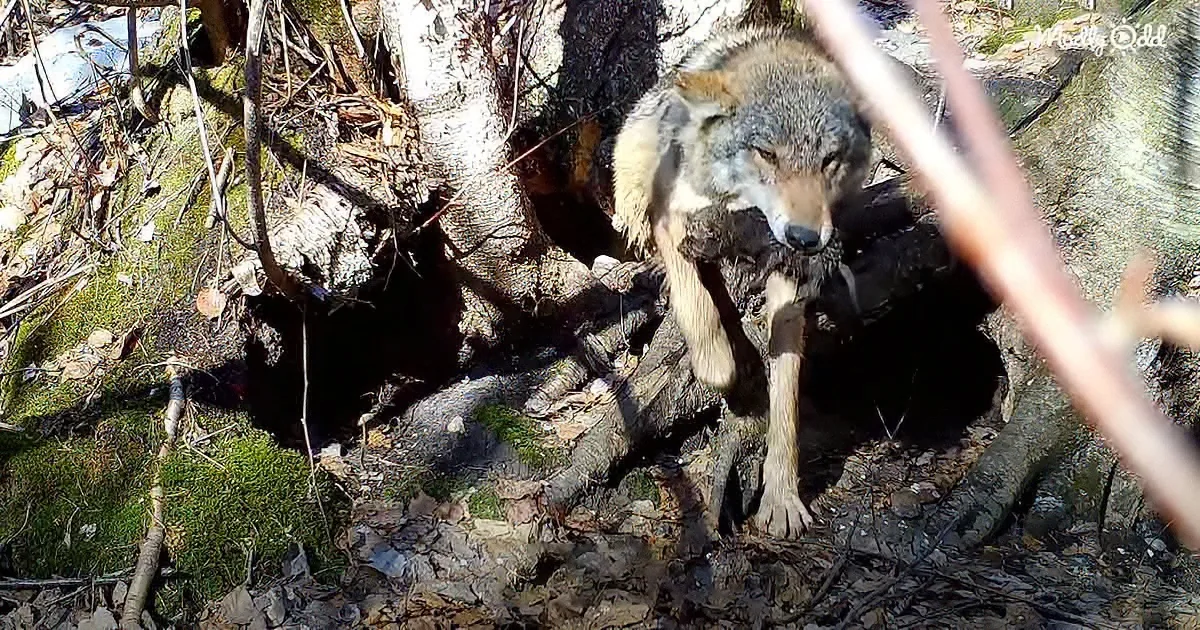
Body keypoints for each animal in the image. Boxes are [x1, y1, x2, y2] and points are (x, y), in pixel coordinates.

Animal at [610, 24, 872, 537]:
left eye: (829, 159)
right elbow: (707, 334)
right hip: (635, 171)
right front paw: (729, 378)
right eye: (767, 154)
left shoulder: (789, 279)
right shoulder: (673, 219)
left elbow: (786, 393)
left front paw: (782, 497)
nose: (805, 237)